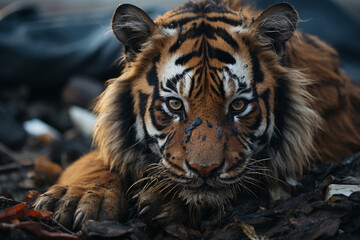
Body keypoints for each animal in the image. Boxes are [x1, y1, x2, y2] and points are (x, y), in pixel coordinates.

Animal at [34, 0, 360, 231]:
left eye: (238, 106)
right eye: (175, 105)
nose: (205, 171)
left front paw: (163, 198)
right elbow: (96, 161)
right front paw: (79, 197)